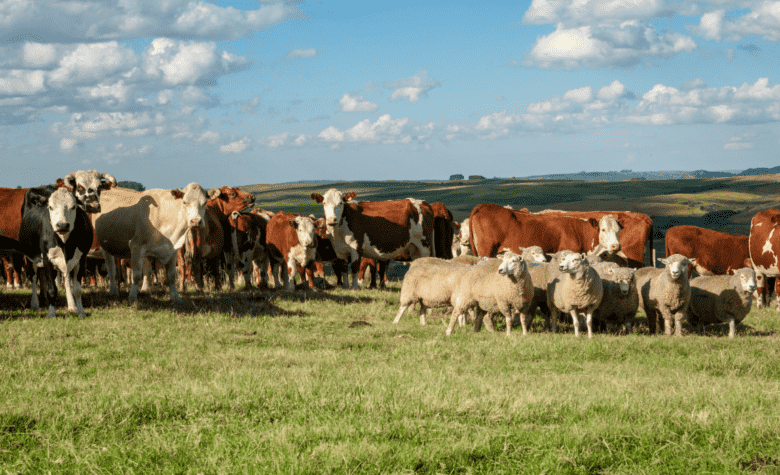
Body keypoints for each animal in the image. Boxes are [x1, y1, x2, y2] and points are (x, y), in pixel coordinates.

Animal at [16, 188, 92, 318]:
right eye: (50, 207)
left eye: (73, 206)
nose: (62, 225)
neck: (64, 243)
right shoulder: (47, 260)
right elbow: (52, 290)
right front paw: (51, 314)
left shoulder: (81, 259)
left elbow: (77, 290)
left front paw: (80, 312)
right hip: (31, 257)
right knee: (34, 278)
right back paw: (35, 304)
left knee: (65, 280)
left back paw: (71, 305)